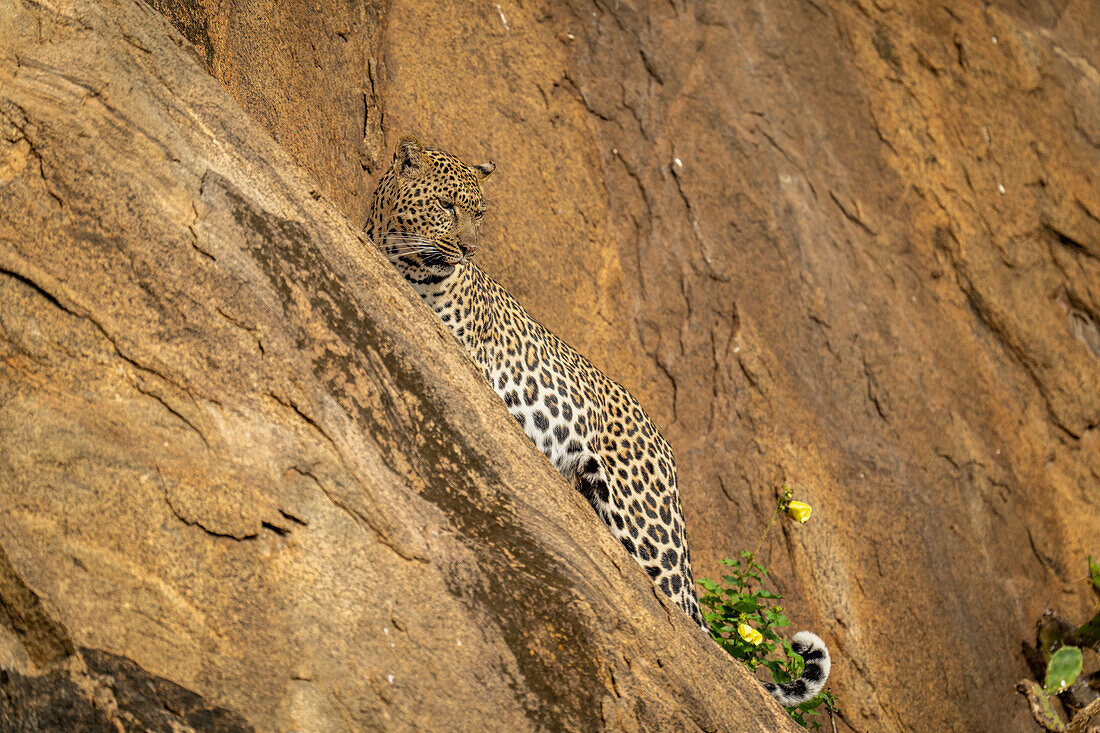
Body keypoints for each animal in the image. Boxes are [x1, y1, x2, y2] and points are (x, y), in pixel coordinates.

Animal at [365, 135, 827, 704]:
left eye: (479, 214)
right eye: (447, 207)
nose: (469, 250)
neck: (405, 262)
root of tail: (667, 450)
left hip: (646, 525)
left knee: (698, 633)